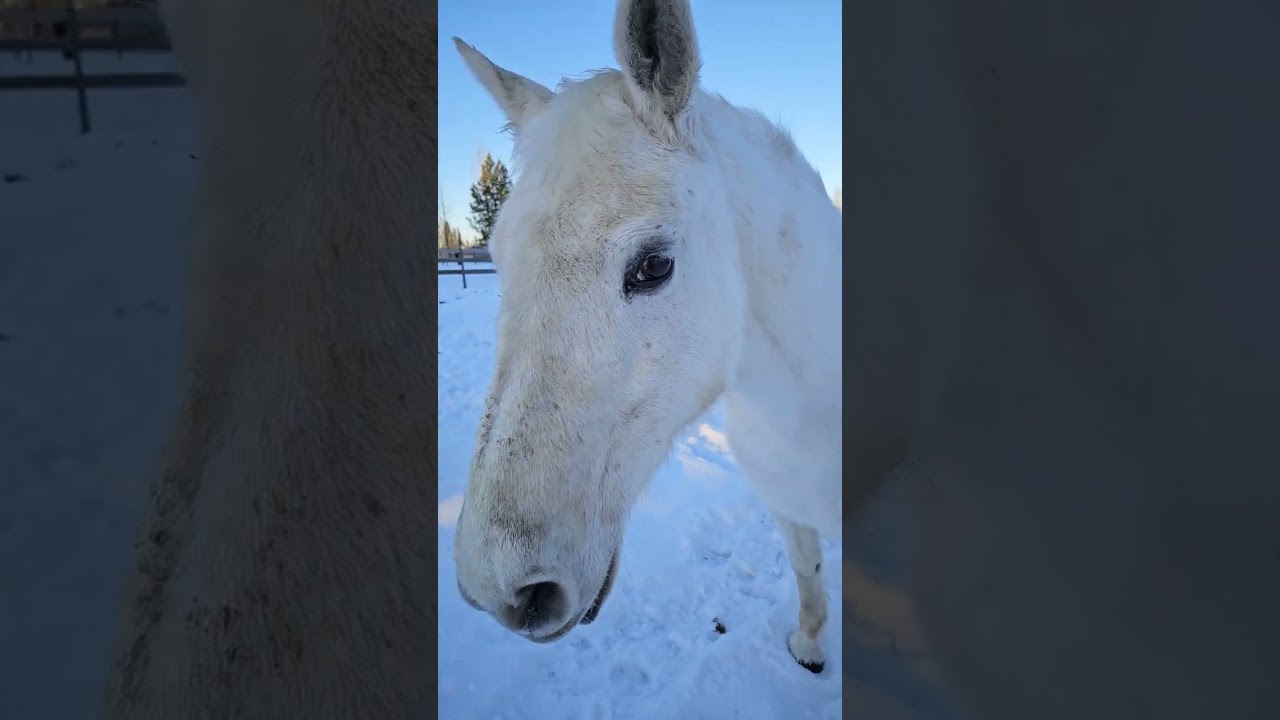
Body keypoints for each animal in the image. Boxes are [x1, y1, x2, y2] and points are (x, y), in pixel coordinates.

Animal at [450, 0, 843, 674]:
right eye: (497, 258)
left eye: (655, 266)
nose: (501, 588)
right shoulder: (789, 506)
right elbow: (806, 567)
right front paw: (810, 646)